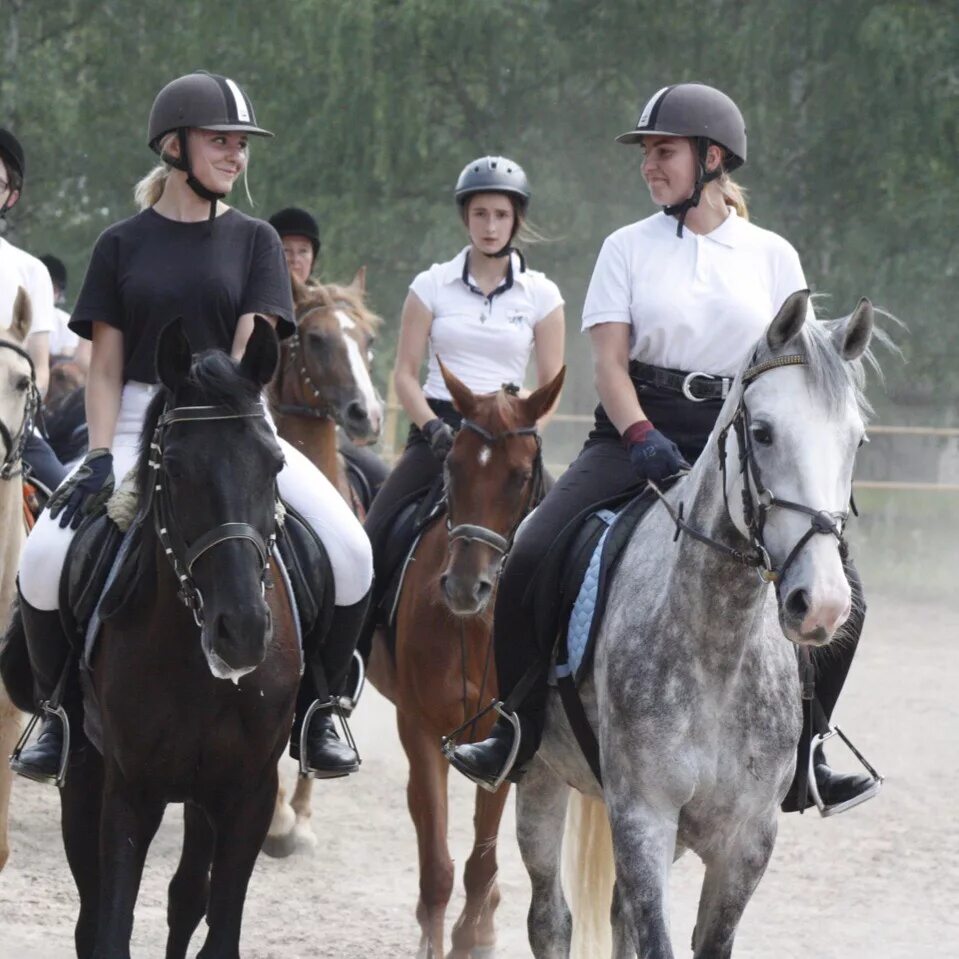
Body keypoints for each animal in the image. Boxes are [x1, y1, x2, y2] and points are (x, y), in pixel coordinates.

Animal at [15, 316, 300, 959]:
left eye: (274, 463)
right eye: (173, 468)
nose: (242, 631)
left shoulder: (248, 794)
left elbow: (218, 931)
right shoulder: (130, 792)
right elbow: (109, 929)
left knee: (185, 897)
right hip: (86, 773)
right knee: (93, 912)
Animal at [376, 362, 568, 959]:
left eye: (521, 475)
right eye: (451, 465)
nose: (465, 587)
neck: (476, 627)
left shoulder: (504, 736)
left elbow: (481, 865)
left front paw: (470, 935)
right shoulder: (418, 727)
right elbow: (436, 863)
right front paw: (434, 940)